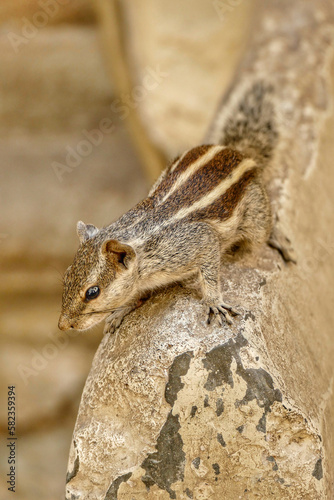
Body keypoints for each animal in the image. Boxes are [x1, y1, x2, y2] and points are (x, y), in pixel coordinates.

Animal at [58, 81, 294, 332]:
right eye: (67, 276)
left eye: (93, 292)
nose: (62, 325)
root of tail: (239, 153)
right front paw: (122, 310)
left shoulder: (198, 240)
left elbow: (210, 272)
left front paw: (214, 301)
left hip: (255, 212)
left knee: (265, 225)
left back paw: (276, 237)